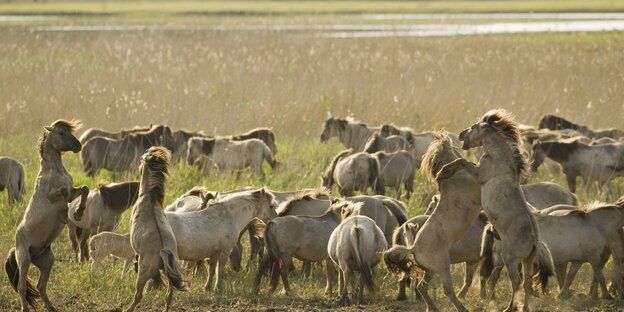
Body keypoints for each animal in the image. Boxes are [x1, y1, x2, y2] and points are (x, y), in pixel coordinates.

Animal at [4, 120, 89, 312]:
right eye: (61, 133)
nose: (78, 146)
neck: (54, 170)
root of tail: (15, 246)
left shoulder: (74, 191)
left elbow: (83, 189)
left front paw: (78, 213)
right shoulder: (52, 195)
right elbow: (63, 193)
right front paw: (66, 214)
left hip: (46, 261)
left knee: (40, 286)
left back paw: (51, 307)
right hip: (24, 260)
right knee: (21, 287)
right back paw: (25, 309)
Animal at [125, 146, 185, 312]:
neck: (149, 197)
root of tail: (163, 250)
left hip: (143, 274)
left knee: (138, 295)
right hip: (172, 271)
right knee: (169, 295)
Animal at [382, 132, 480, 312]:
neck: (455, 177)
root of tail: (413, 248)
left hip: (429, 270)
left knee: (422, 287)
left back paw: (432, 307)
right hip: (443, 267)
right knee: (447, 290)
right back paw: (461, 308)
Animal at [438, 109, 556, 312]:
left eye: (473, 127)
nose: (461, 134)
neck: (498, 155)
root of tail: (534, 240)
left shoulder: (480, 174)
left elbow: (462, 161)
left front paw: (443, 172)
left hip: (510, 259)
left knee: (516, 283)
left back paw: (509, 308)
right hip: (527, 261)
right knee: (526, 283)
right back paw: (524, 307)